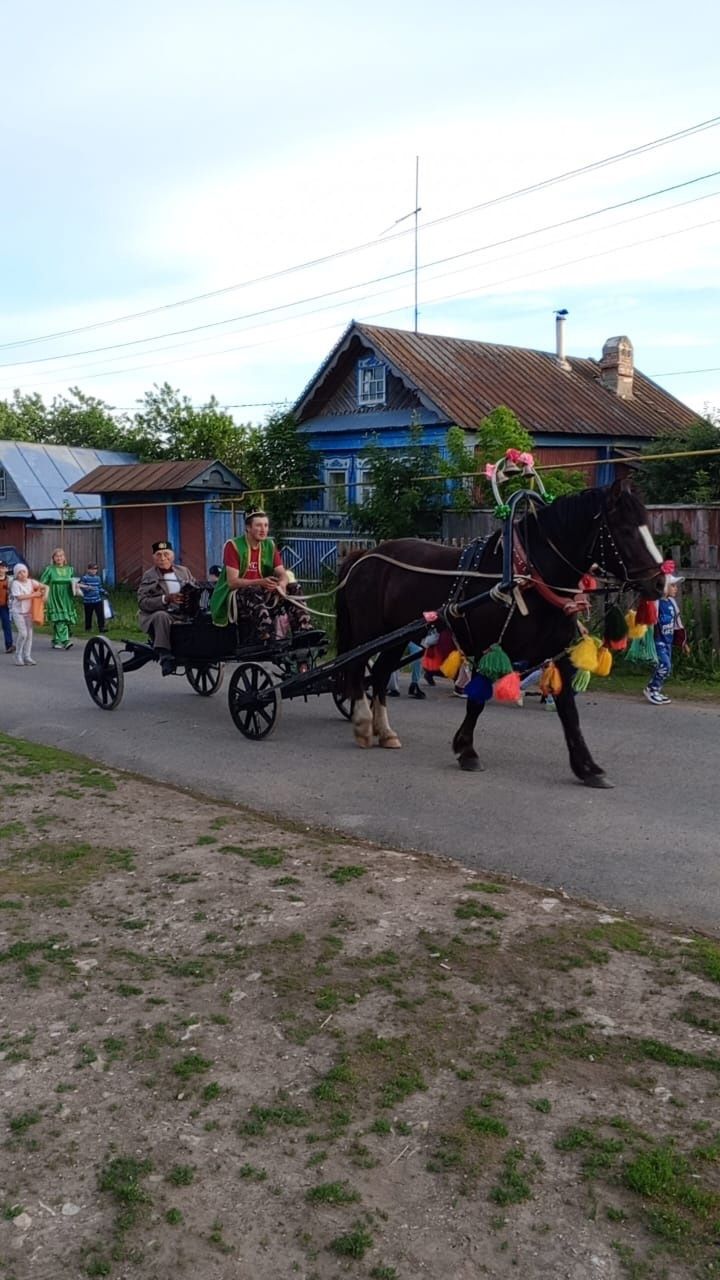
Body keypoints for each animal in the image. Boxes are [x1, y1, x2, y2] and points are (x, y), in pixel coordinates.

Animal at [333, 481, 666, 783]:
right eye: (625, 531)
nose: (661, 583)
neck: (527, 577)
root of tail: (363, 557)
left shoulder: (558, 654)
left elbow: (569, 711)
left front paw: (587, 767)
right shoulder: (487, 647)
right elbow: (477, 700)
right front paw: (466, 750)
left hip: (394, 637)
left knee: (379, 674)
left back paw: (385, 731)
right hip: (367, 631)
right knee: (356, 668)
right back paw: (363, 723)